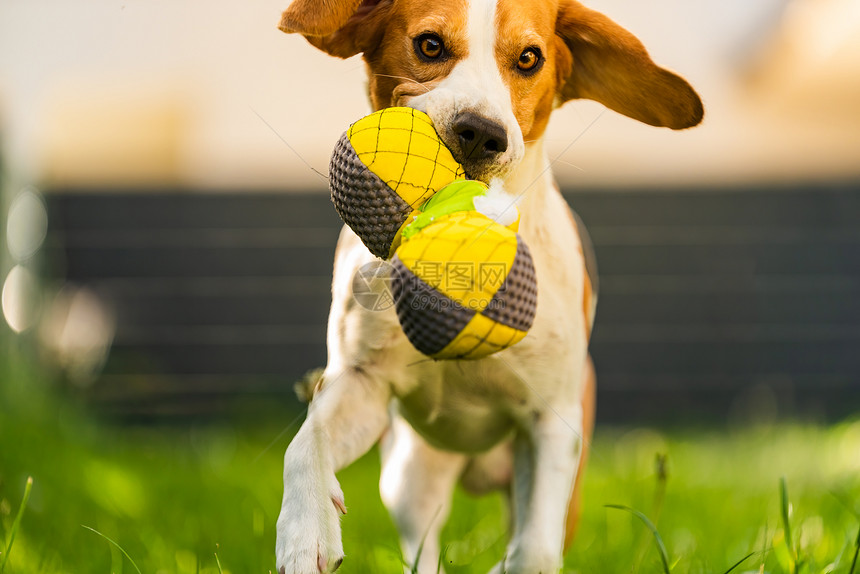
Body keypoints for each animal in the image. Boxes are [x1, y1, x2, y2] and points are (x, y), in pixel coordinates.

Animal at [274, 2, 700, 572]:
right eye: (430, 45)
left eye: (529, 57)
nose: (480, 132)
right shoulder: (362, 383)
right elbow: (306, 441)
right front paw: (306, 532)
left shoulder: (551, 422)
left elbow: (534, 552)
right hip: (409, 474)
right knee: (423, 545)